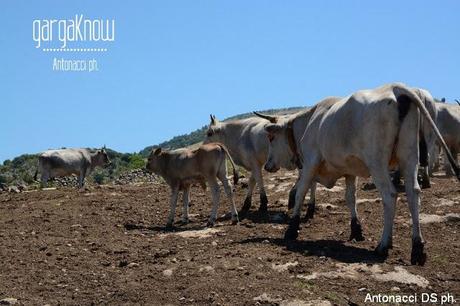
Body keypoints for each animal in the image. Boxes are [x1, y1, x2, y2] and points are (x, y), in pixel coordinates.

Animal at [264, 83, 458, 266]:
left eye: (272, 138)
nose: (267, 165)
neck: (311, 122)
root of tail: (396, 87)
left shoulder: (310, 163)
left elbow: (300, 193)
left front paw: (292, 228)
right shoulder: (350, 171)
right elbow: (351, 198)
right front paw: (356, 229)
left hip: (377, 163)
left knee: (390, 195)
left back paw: (383, 245)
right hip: (409, 158)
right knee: (413, 193)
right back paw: (417, 248)